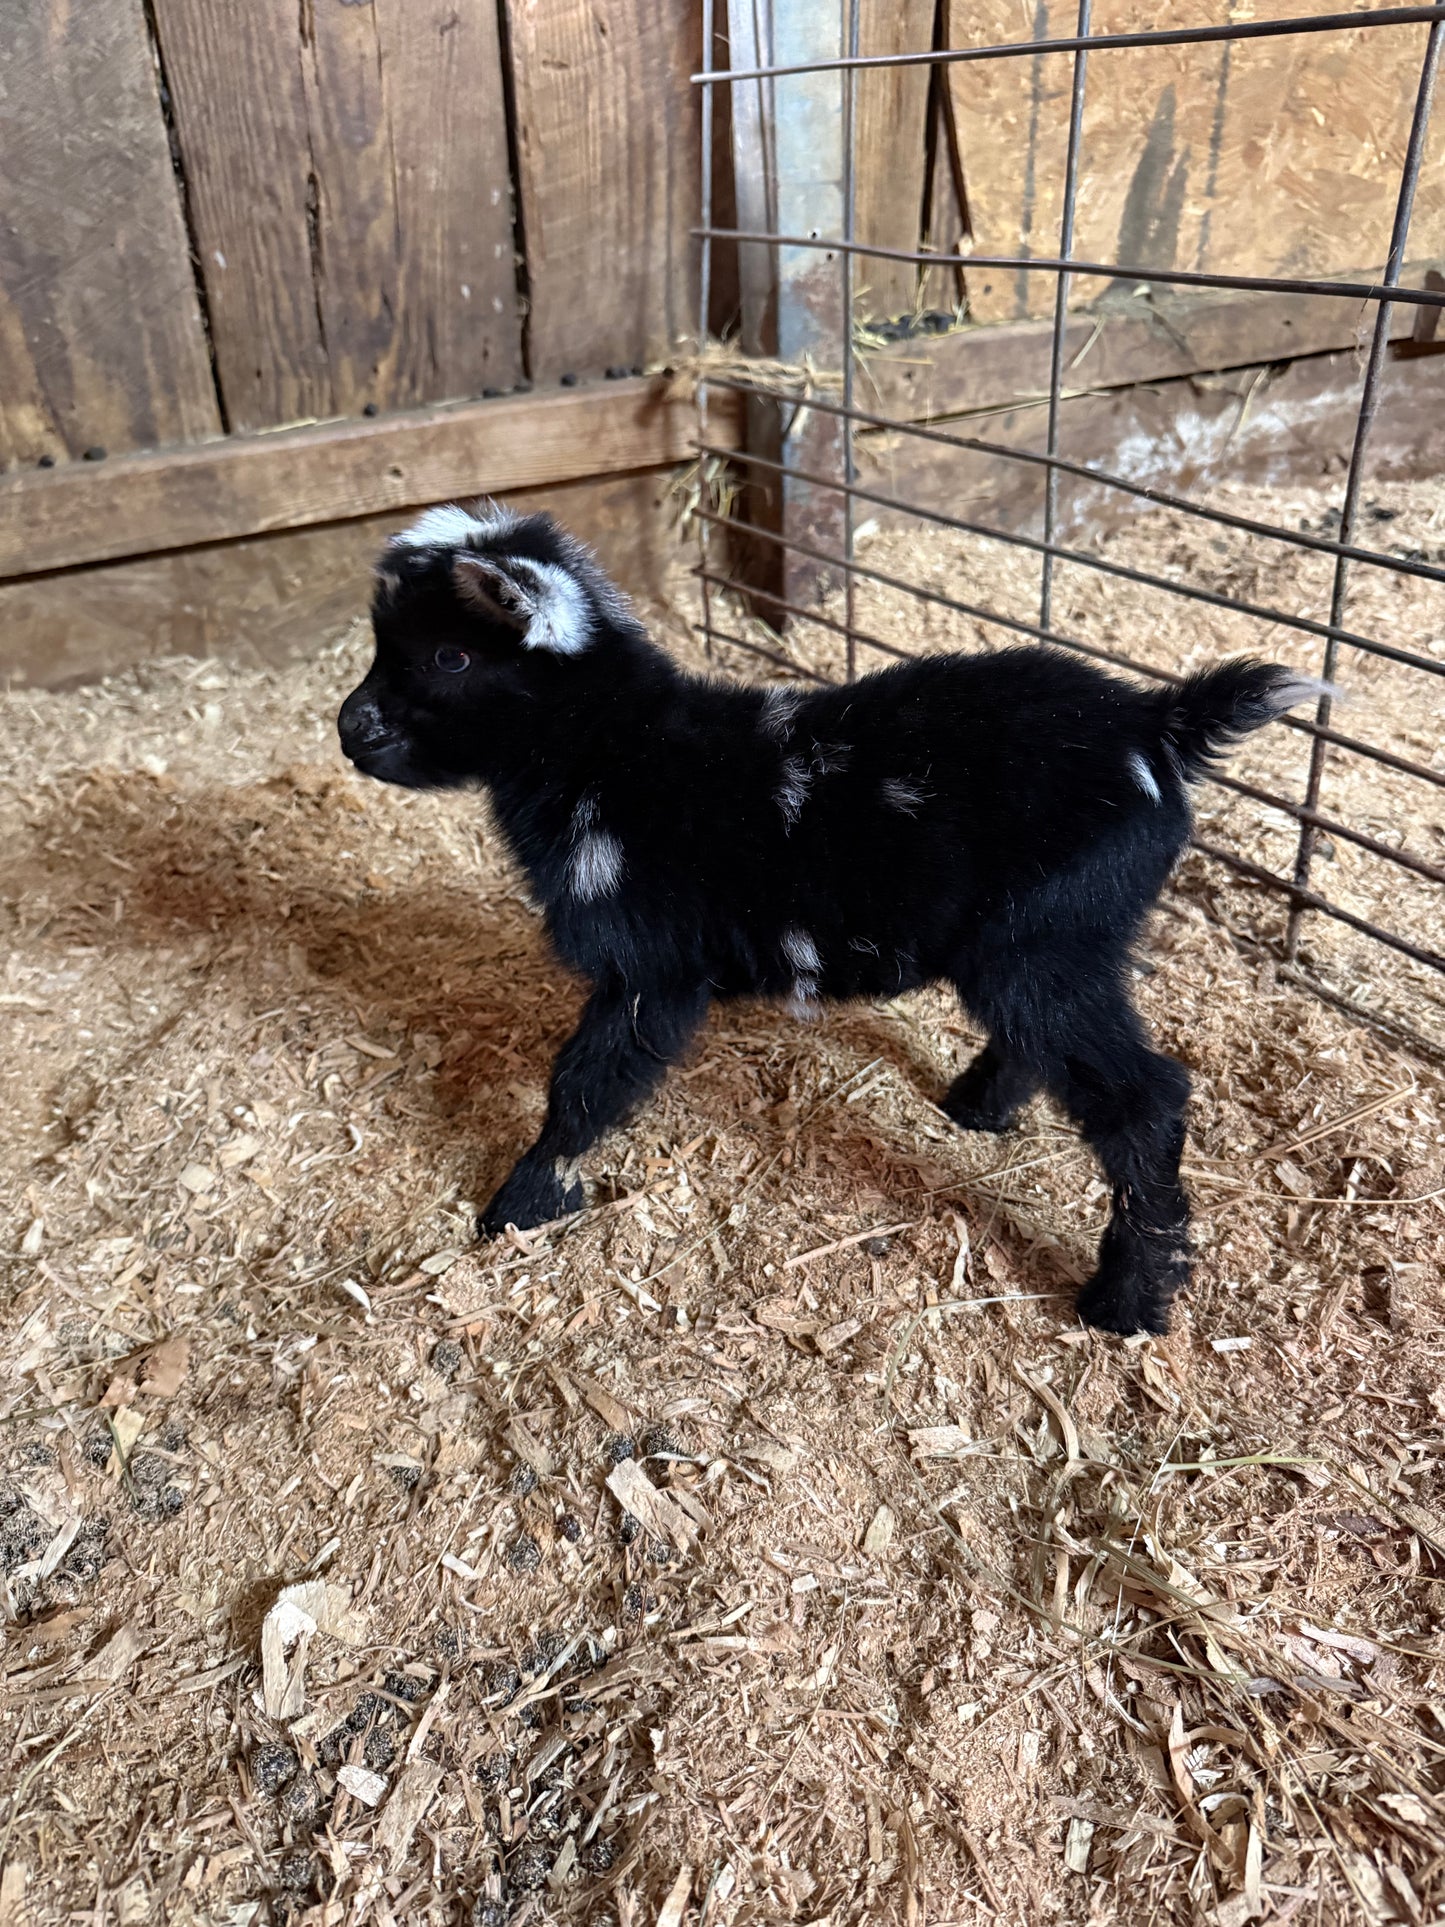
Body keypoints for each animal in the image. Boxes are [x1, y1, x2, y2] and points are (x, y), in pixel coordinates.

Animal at [338, 500, 1321, 1336]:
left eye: (450, 658)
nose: (351, 729)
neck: (615, 752)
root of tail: (1155, 726)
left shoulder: (651, 967)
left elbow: (586, 1083)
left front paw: (525, 1200)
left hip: (1048, 937)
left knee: (1142, 1098)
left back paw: (1126, 1298)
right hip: (1049, 946)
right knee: (1046, 1043)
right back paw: (975, 1109)